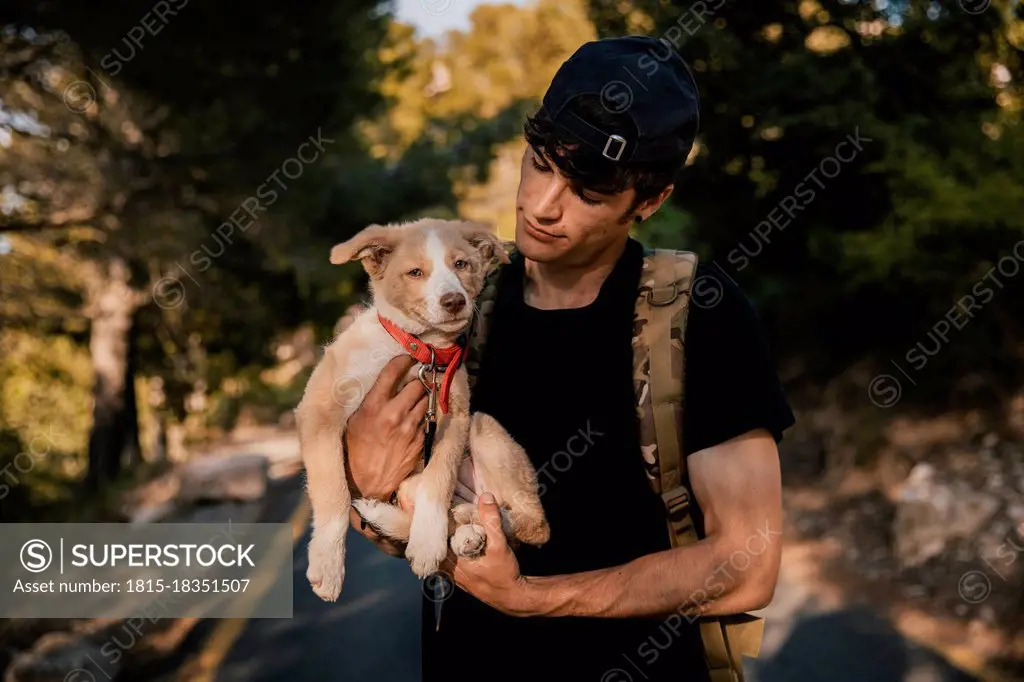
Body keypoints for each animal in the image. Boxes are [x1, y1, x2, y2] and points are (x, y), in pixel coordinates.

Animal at [296, 218, 552, 602]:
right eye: (415, 272)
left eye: (461, 264)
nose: (454, 301)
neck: (420, 350)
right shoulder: (319, 410)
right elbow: (333, 492)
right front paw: (327, 564)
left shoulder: (454, 416)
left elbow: (439, 478)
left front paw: (428, 542)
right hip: (412, 480)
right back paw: (466, 531)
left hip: (485, 428)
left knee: (532, 523)